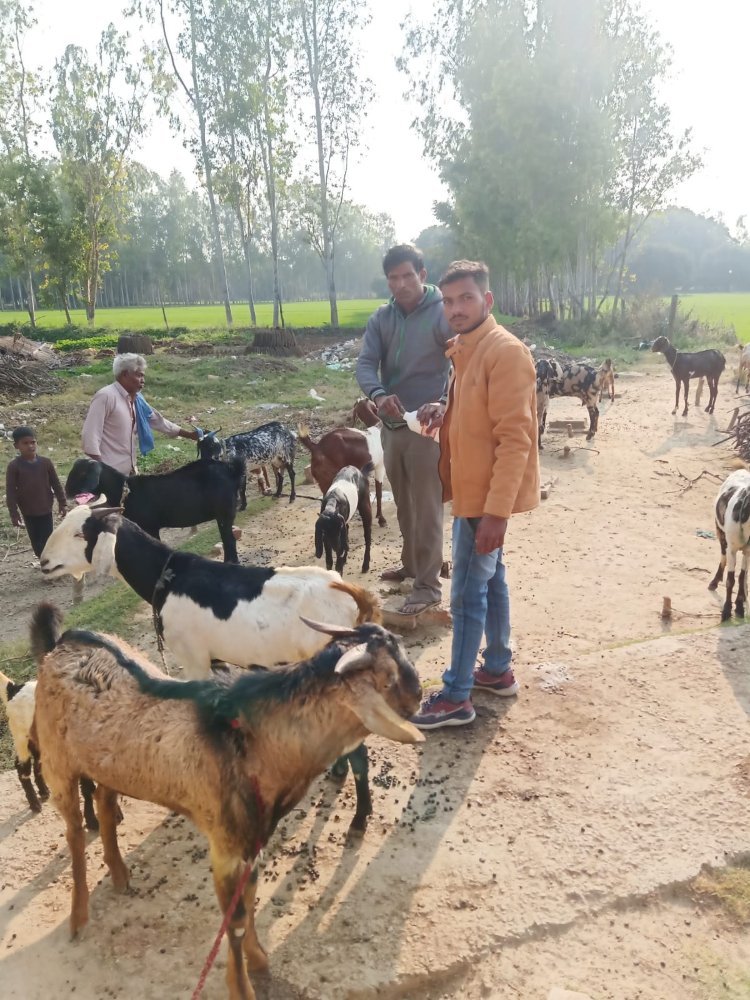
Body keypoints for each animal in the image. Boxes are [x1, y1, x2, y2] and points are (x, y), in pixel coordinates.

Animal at [31, 602, 423, 999]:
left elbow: (248, 900)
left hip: (110, 764)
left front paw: (260, 958)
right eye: (389, 679)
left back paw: (120, 873)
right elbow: (234, 920)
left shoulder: (253, 840)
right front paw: (242, 988)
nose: (418, 696)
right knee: (74, 832)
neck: (253, 742)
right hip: (56, 761)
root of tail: (66, 639)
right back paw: (79, 916)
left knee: (105, 801)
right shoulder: (225, 845)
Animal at [65, 455, 244, 563]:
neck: (126, 491)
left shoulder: (150, 526)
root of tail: (232, 470)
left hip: (224, 511)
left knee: (229, 540)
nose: (66, 491)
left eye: (81, 474)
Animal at [708, 468, 750, 621]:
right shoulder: (732, 549)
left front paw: (739, 608)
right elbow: (730, 580)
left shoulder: (748, 551)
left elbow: (742, 577)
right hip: (720, 531)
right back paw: (714, 582)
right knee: (723, 555)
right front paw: (726, 611)